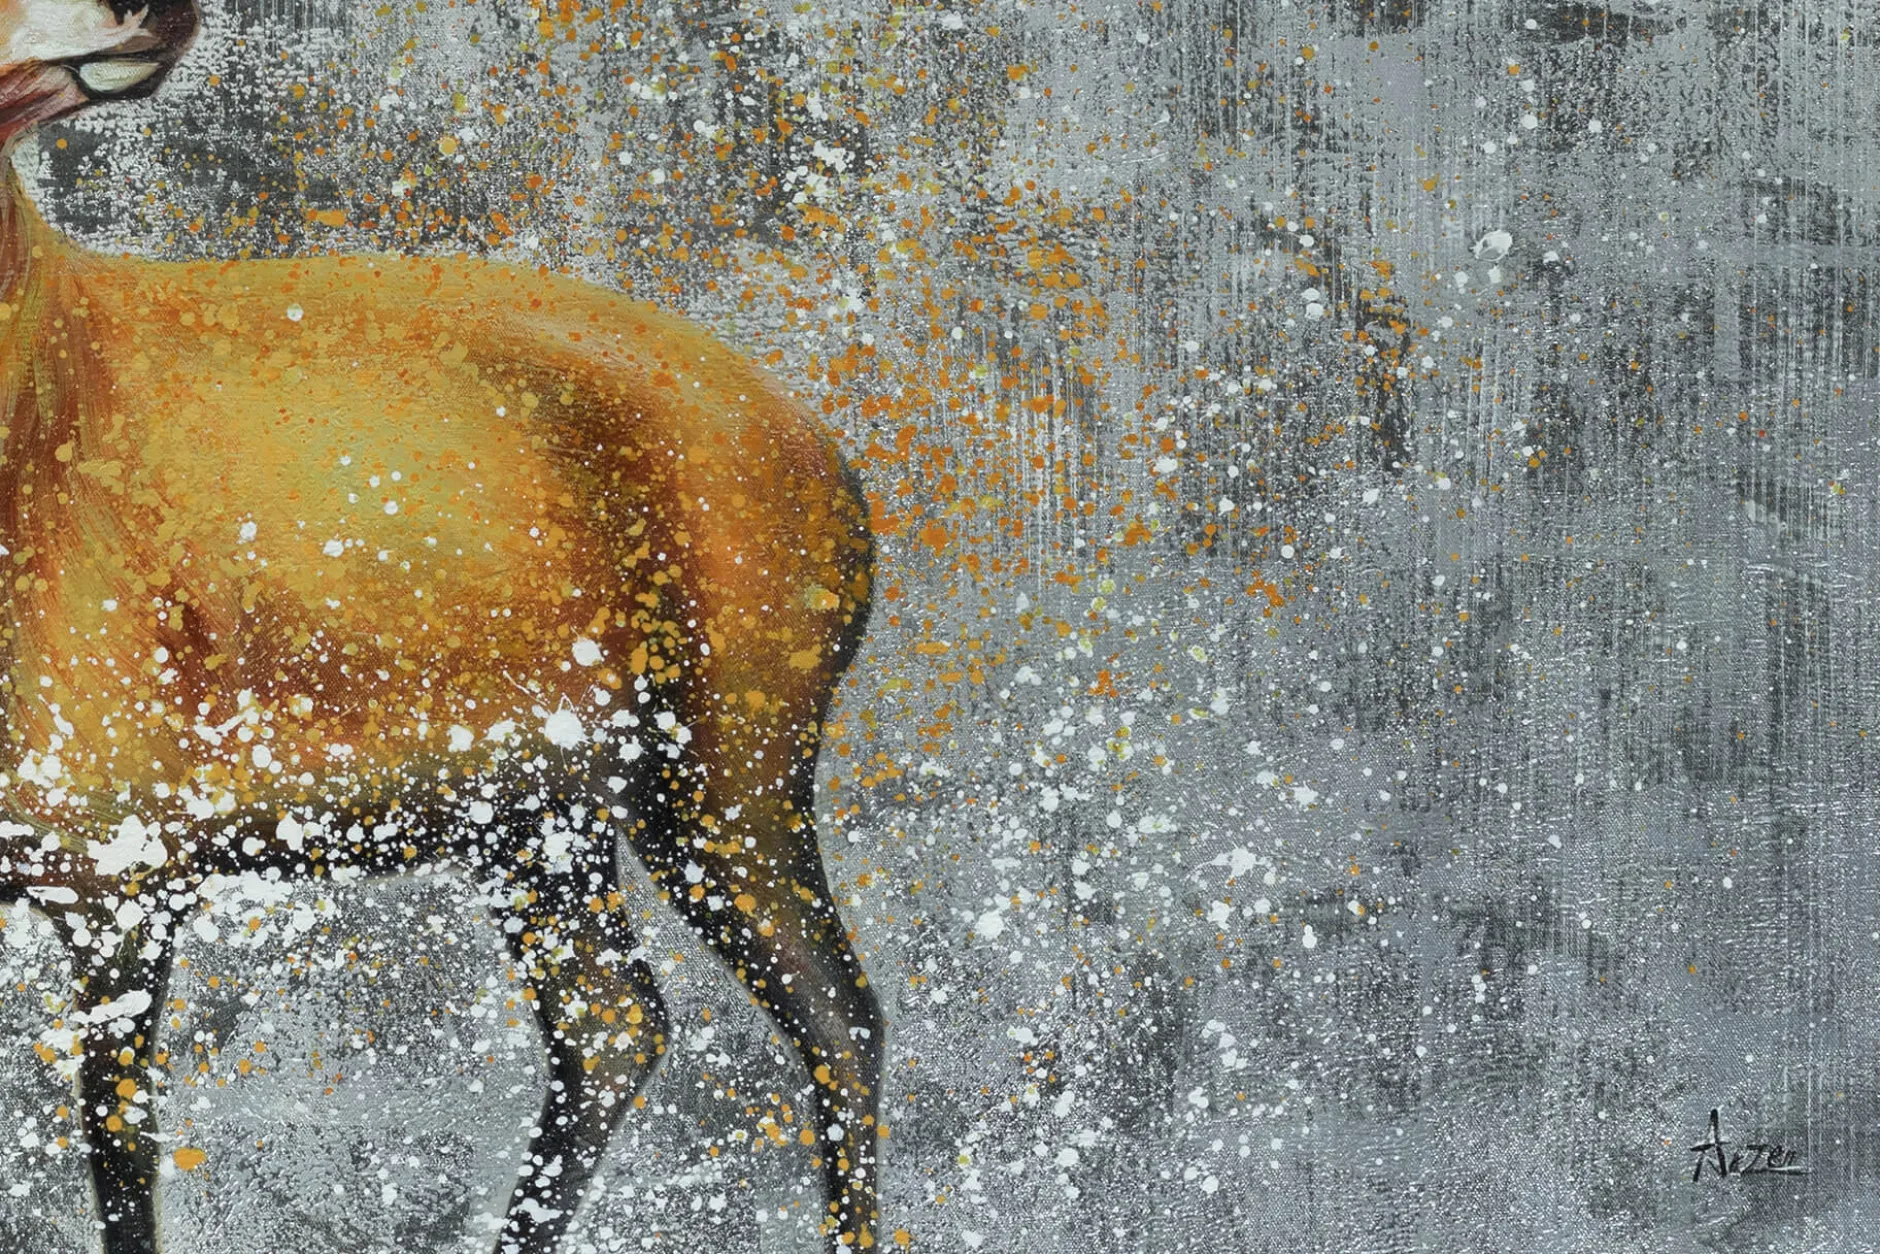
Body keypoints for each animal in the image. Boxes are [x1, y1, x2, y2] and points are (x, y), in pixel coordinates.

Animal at [0, 0, 887, 1250]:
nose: (159, 11)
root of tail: (830, 464)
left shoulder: (122, 863)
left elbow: (122, 1168)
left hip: (727, 771)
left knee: (835, 1016)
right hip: (539, 810)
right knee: (616, 1018)